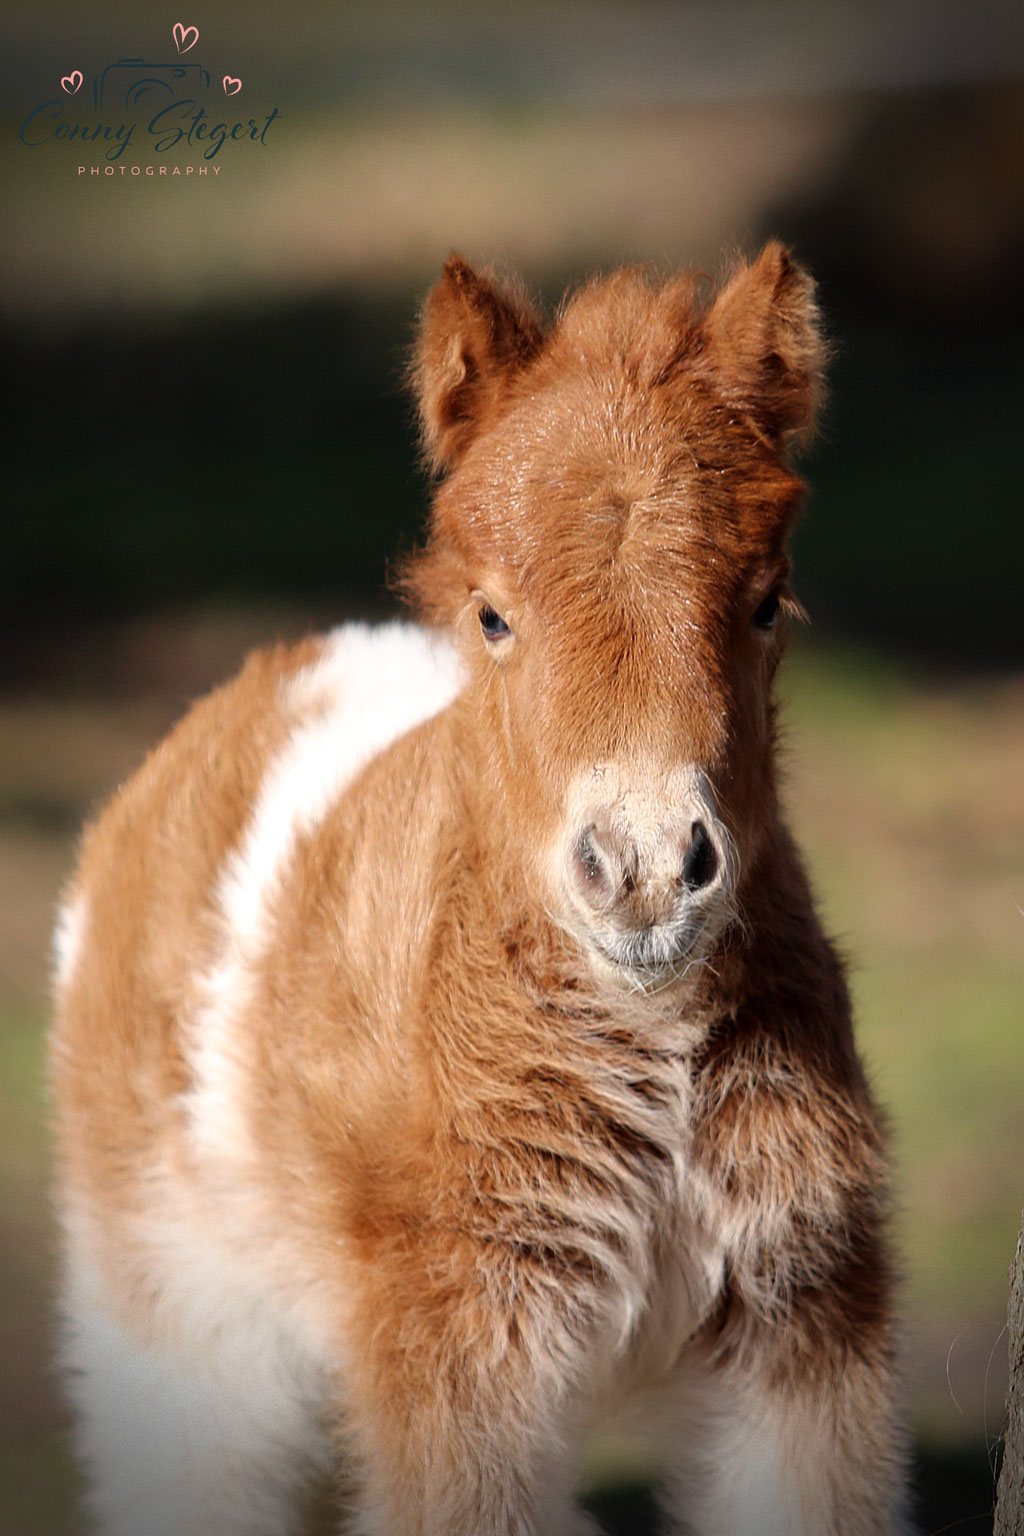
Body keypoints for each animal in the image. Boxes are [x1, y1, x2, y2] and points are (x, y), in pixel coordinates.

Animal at [49, 248, 914, 1536]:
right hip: (171, 1313)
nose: (646, 872)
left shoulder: (802, 1319)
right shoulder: (455, 1348)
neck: (647, 1045)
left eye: (766, 602)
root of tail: (275, 671)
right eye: (495, 614)